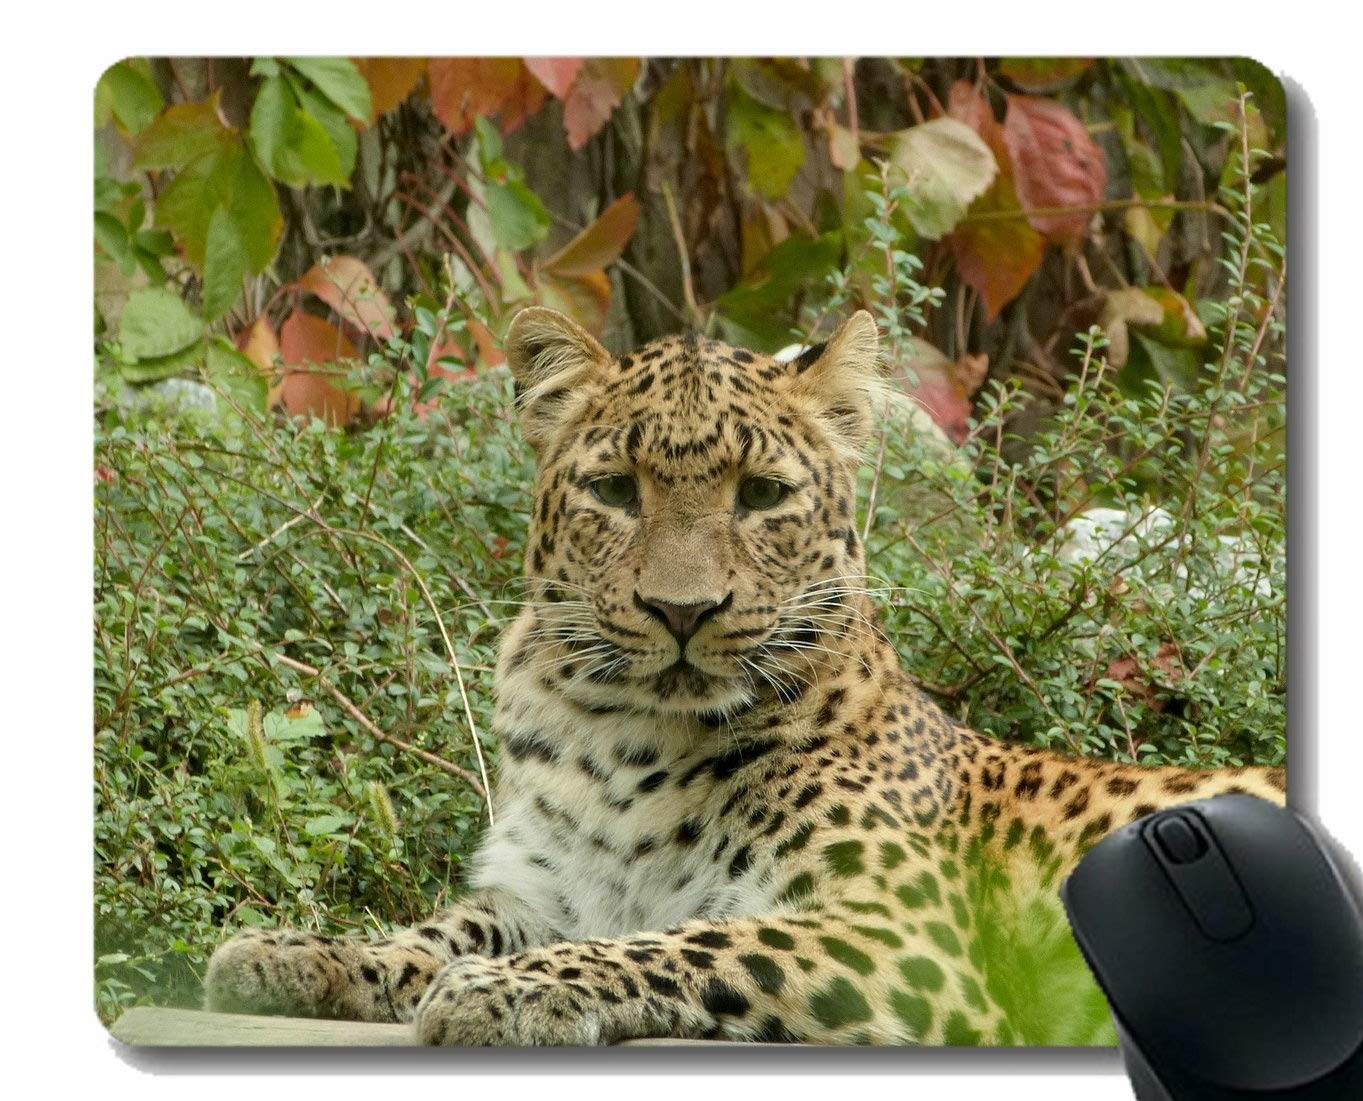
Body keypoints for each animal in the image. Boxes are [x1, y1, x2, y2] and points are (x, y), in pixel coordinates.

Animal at [205, 306, 1286, 1046]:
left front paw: (501, 991)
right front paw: (300, 953)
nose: (682, 611)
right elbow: (439, 928)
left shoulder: (899, 936)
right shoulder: (539, 891)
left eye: (762, 495)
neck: (619, 738)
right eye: (614, 489)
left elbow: (684, 939)